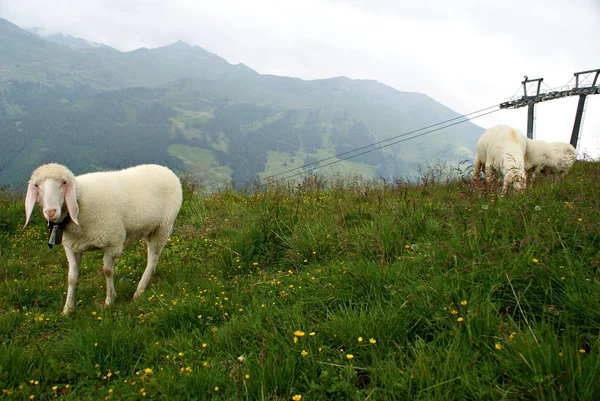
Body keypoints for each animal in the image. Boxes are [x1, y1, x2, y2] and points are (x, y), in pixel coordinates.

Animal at [24, 164, 183, 314]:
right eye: (36, 185)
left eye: (64, 183)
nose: (50, 211)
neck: (80, 203)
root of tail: (165, 169)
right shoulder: (72, 247)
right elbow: (72, 277)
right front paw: (67, 309)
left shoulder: (112, 243)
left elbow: (107, 271)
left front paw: (109, 300)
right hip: (151, 230)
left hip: (163, 227)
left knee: (152, 259)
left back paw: (139, 290)